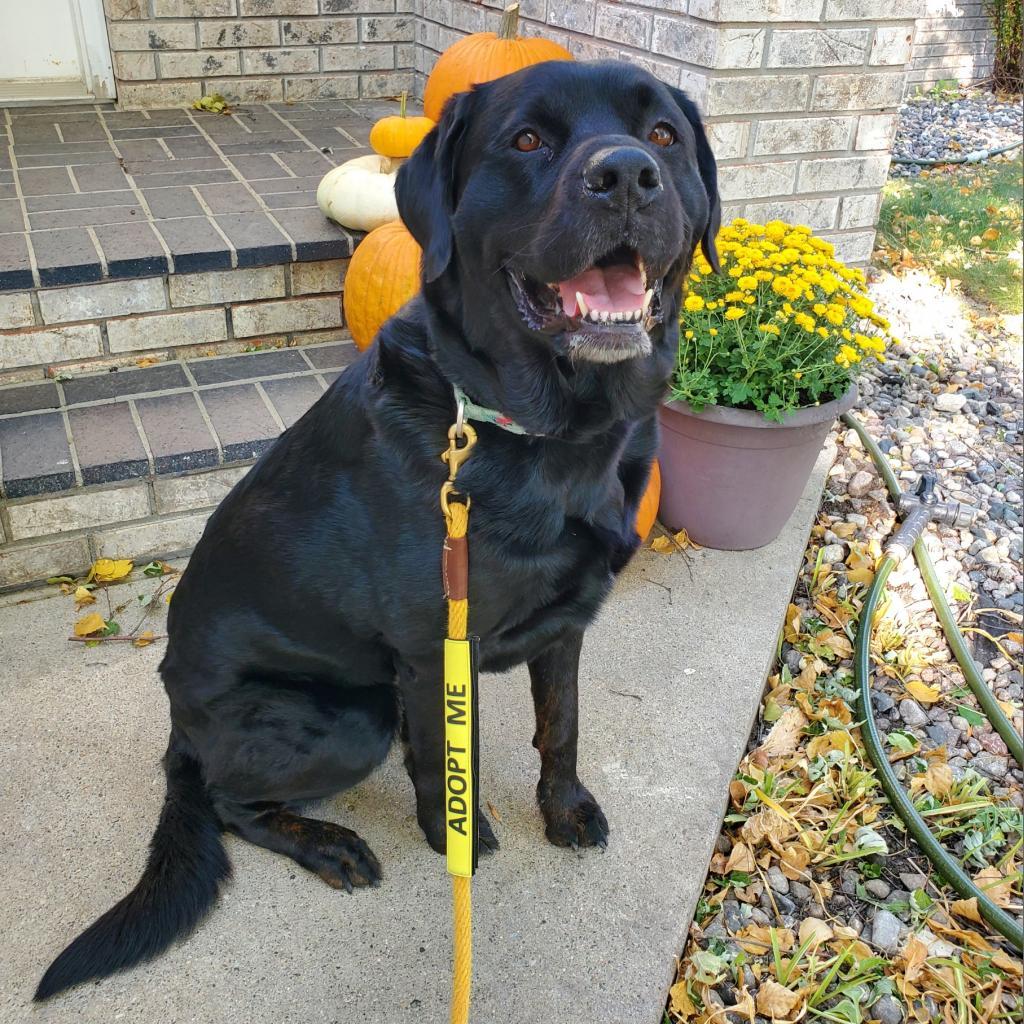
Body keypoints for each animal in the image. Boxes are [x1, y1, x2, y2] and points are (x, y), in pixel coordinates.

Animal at [37, 58, 720, 999]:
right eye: (528, 139)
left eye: (663, 135)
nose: (625, 174)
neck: (542, 433)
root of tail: (179, 726)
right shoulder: (436, 649)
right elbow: (442, 760)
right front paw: (454, 838)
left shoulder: (567, 626)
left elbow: (564, 725)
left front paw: (566, 809)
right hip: (346, 716)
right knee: (230, 801)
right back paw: (328, 845)